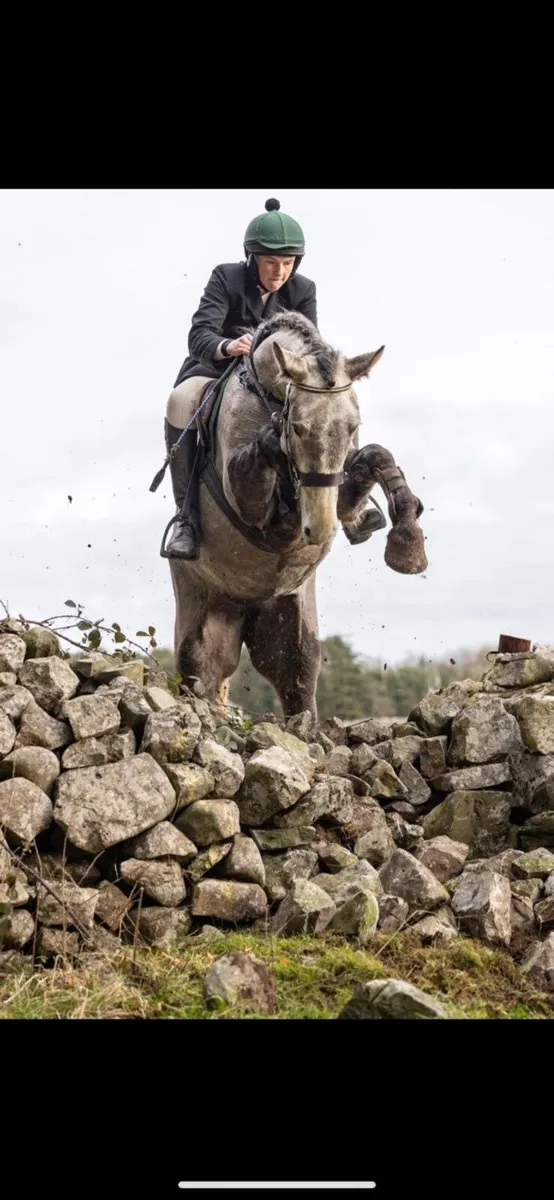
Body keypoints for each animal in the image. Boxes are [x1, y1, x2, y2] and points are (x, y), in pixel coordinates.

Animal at [168, 311, 427, 718]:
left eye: (352, 426)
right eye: (298, 427)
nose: (318, 529)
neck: (270, 397)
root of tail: (243, 608)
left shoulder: (338, 491)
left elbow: (375, 455)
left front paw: (408, 543)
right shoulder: (252, 509)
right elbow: (265, 472)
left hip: (290, 623)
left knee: (296, 676)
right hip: (199, 611)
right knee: (200, 675)